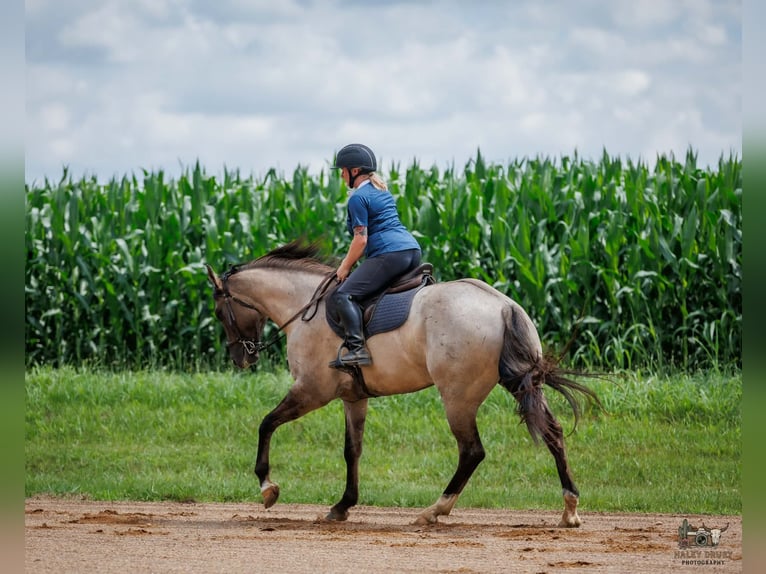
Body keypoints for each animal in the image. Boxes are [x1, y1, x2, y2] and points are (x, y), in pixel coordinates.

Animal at [205, 240, 601, 527]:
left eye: (218, 312)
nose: (241, 358)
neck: (305, 306)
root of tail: (504, 306)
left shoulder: (312, 391)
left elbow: (266, 424)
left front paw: (267, 486)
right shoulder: (353, 398)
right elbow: (352, 450)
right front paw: (342, 506)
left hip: (457, 398)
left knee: (472, 451)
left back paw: (435, 510)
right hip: (519, 383)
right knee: (553, 433)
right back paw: (569, 509)